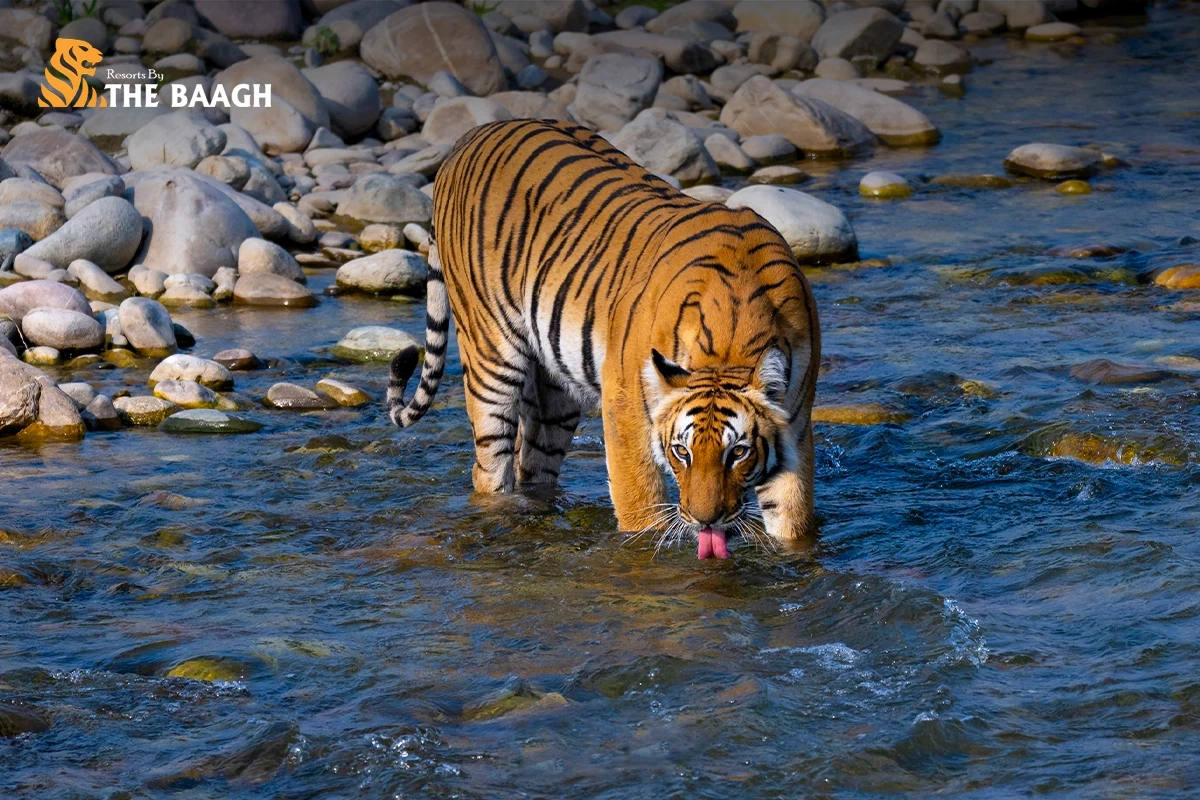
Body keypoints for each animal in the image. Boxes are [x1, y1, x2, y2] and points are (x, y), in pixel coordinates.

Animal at [389, 120, 820, 559]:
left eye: (739, 453)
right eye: (681, 451)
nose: (705, 521)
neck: (731, 338)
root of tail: (468, 137)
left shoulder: (795, 424)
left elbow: (792, 516)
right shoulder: (625, 406)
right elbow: (640, 508)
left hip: (555, 394)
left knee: (532, 462)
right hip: (491, 357)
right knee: (489, 467)